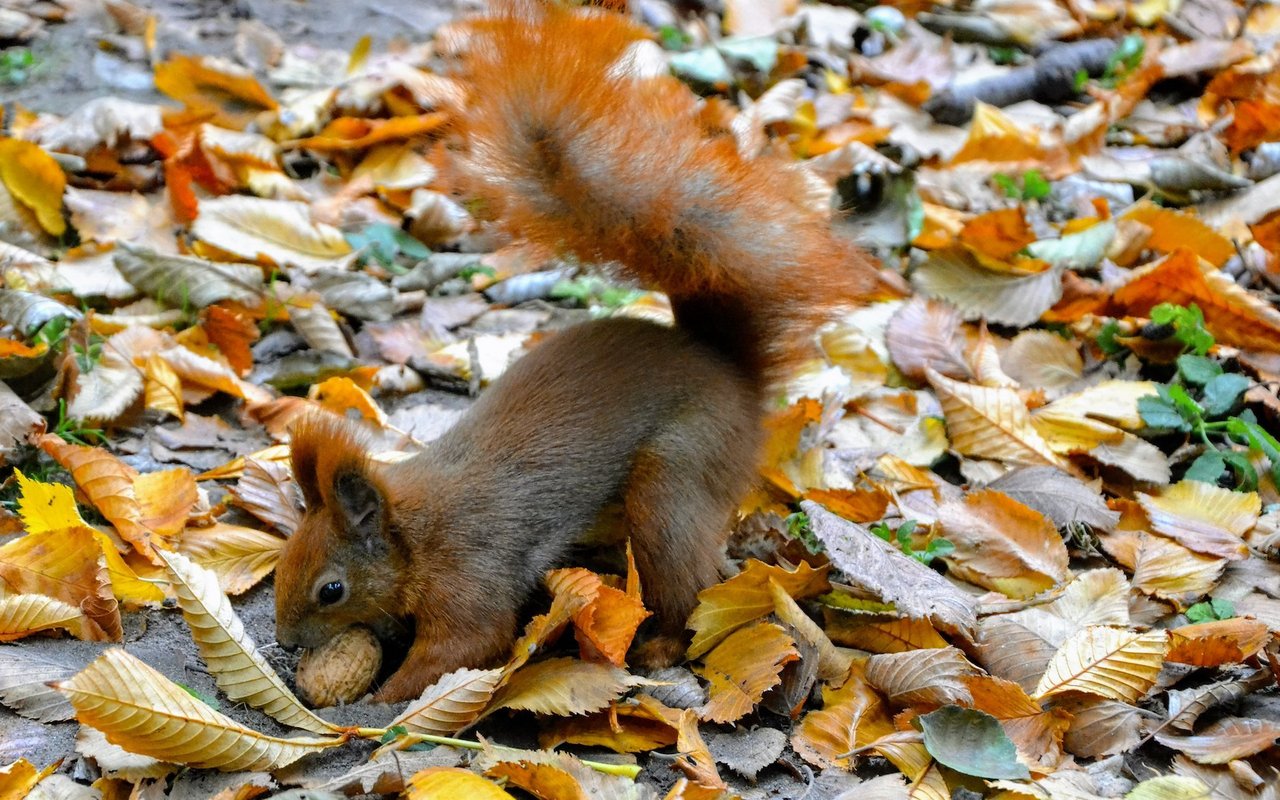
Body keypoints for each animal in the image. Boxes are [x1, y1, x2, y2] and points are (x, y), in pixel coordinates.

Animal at [275, 4, 906, 696]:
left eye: (332, 590)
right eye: (282, 559)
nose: (283, 640)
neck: (413, 530)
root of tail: (729, 369)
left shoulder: (469, 568)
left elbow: (467, 644)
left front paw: (385, 700)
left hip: (677, 475)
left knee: (688, 587)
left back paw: (662, 645)